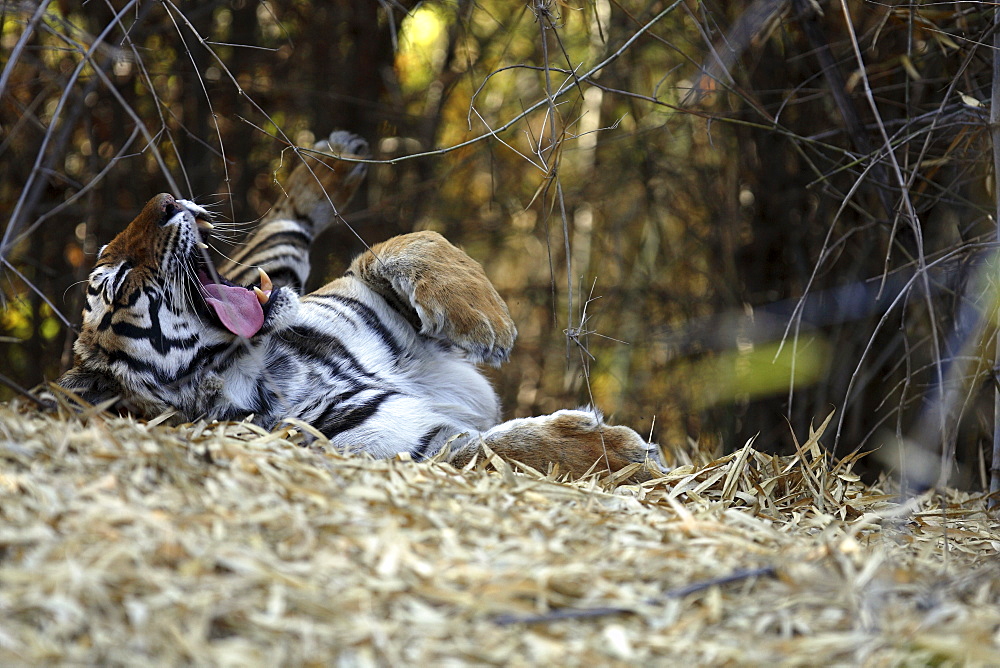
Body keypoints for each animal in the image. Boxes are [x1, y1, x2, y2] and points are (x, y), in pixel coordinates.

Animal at [56, 130, 664, 480]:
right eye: (118, 284)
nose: (163, 202)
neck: (256, 360)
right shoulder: (414, 446)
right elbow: (501, 451)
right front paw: (615, 452)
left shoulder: (347, 292)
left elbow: (406, 243)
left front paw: (486, 319)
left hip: (269, 262)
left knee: (284, 226)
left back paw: (332, 162)